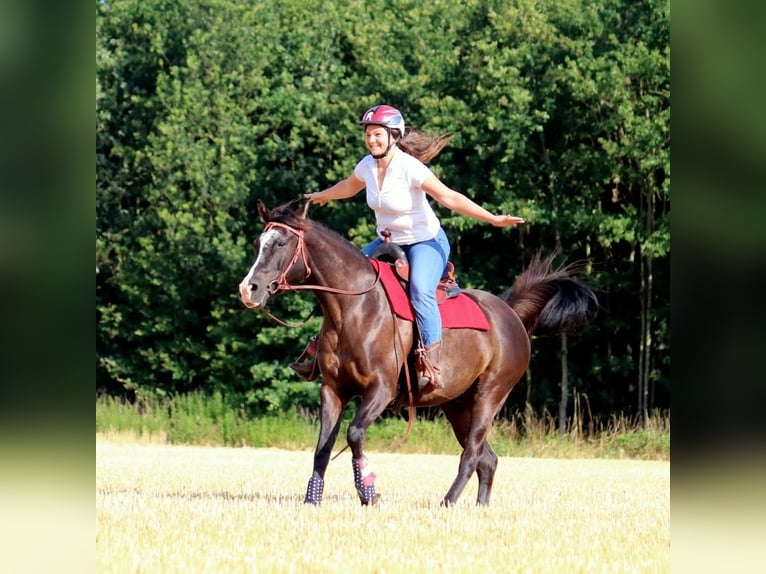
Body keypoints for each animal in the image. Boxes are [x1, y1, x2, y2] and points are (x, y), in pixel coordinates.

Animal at [238, 200, 597, 507]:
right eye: (258, 243)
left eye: (281, 244)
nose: (248, 289)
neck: (354, 308)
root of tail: (510, 313)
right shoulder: (333, 390)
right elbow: (322, 449)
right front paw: (312, 500)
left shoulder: (380, 390)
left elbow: (354, 435)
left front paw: (369, 492)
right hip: (457, 405)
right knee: (487, 459)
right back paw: (479, 508)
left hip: (490, 396)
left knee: (471, 455)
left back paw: (447, 502)